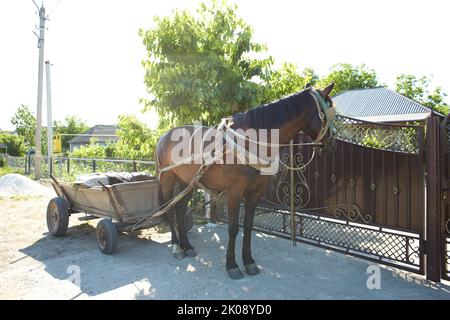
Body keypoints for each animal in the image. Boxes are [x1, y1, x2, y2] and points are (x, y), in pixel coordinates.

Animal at [156, 83, 336, 280]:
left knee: (180, 209)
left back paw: (187, 246)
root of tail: (163, 136)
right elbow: (234, 228)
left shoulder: (255, 192)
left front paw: (249, 261)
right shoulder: (234, 193)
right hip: (168, 180)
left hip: (189, 182)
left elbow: (248, 227)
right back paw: (176, 246)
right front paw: (232, 265)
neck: (251, 142)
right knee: (170, 210)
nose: (331, 142)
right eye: (329, 110)